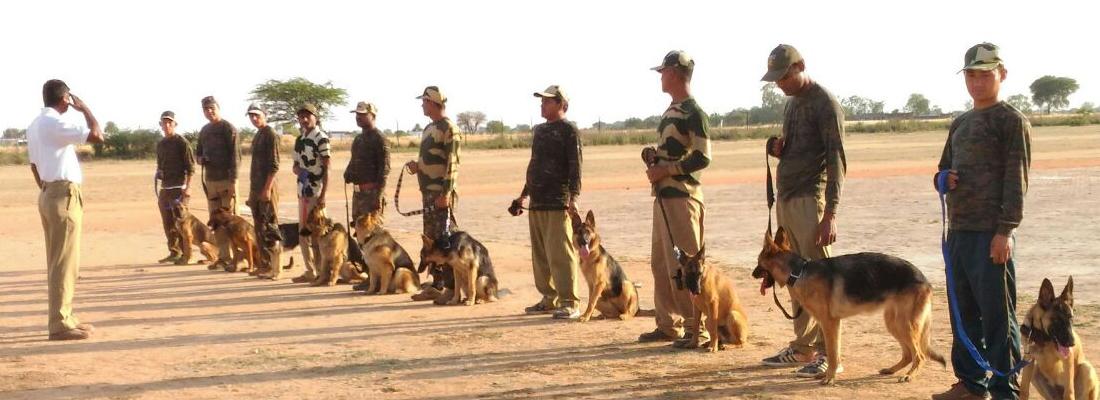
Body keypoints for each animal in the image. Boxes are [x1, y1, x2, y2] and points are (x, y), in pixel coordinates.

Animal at [756, 226, 946, 382]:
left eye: (758, 263)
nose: (752, 273)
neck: (798, 272)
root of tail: (924, 278)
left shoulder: (830, 323)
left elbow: (832, 353)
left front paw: (829, 378)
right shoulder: (832, 324)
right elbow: (834, 352)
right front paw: (827, 375)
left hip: (903, 324)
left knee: (919, 355)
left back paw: (909, 376)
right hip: (894, 323)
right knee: (908, 354)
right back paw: (892, 370)